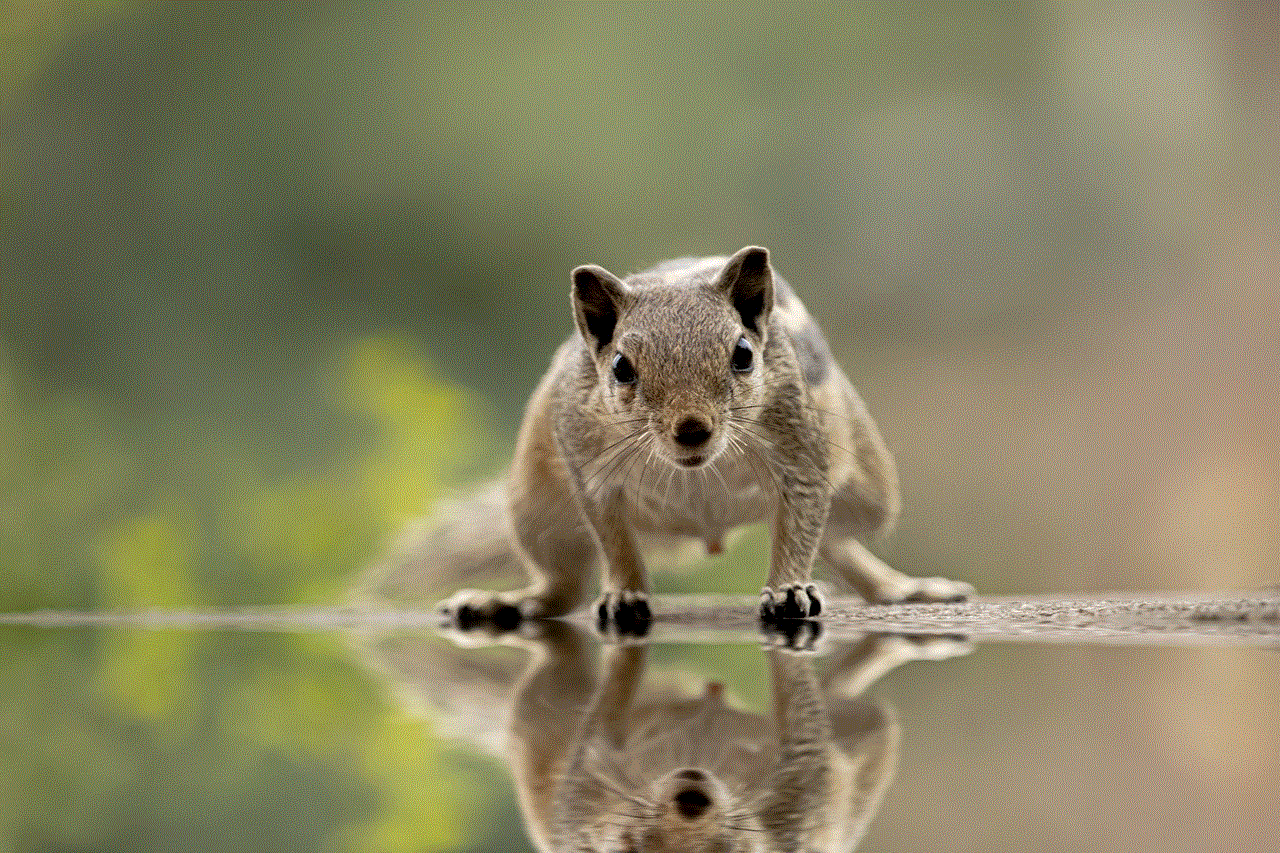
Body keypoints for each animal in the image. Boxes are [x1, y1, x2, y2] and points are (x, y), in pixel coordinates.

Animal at [430, 245, 967, 625]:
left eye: (744, 354)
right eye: (621, 367)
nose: (692, 430)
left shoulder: (801, 454)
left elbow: (803, 521)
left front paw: (788, 589)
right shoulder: (590, 469)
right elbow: (613, 538)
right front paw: (625, 592)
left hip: (871, 496)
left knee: (837, 538)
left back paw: (899, 587)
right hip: (536, 510)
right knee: (560, 588)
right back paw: (504, 602)